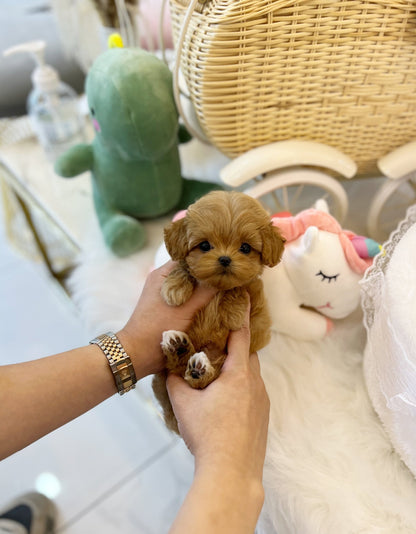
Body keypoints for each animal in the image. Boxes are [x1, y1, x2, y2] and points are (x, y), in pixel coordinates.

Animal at [153, 191, 286, 434]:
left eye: (245, 248)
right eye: (205, 245)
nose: (225, 259)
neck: (217, 287)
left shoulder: (258, 324)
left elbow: (240, 288)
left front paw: (233, 310)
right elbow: (183, 268)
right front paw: (175, 288)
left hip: (218, 360)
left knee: (199, 377)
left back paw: (196, 367)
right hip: (162, 376)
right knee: (177, 367)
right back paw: (179, 348)